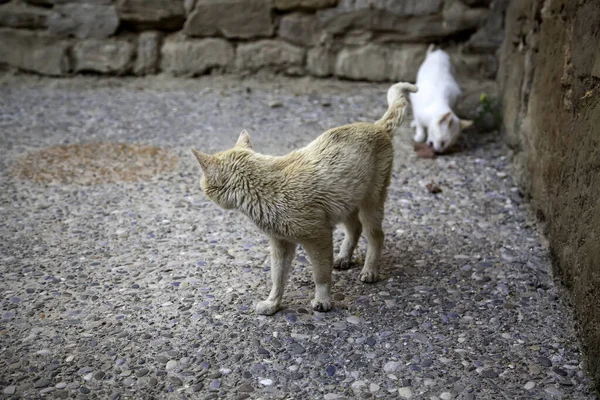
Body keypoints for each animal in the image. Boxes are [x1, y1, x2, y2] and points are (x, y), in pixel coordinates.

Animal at [192, 83, 418, 316]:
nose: (200, 187)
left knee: (376, 235)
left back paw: (370, 270)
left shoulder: (319, 238)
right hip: (347, 203)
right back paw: (344, 257)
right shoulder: (280, 244)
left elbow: (320, 275)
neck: (264, 186)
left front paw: (323, 299)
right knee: (354, 228)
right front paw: (273, 303)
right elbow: (277, 277)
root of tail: (377, 126)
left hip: (371, 202)